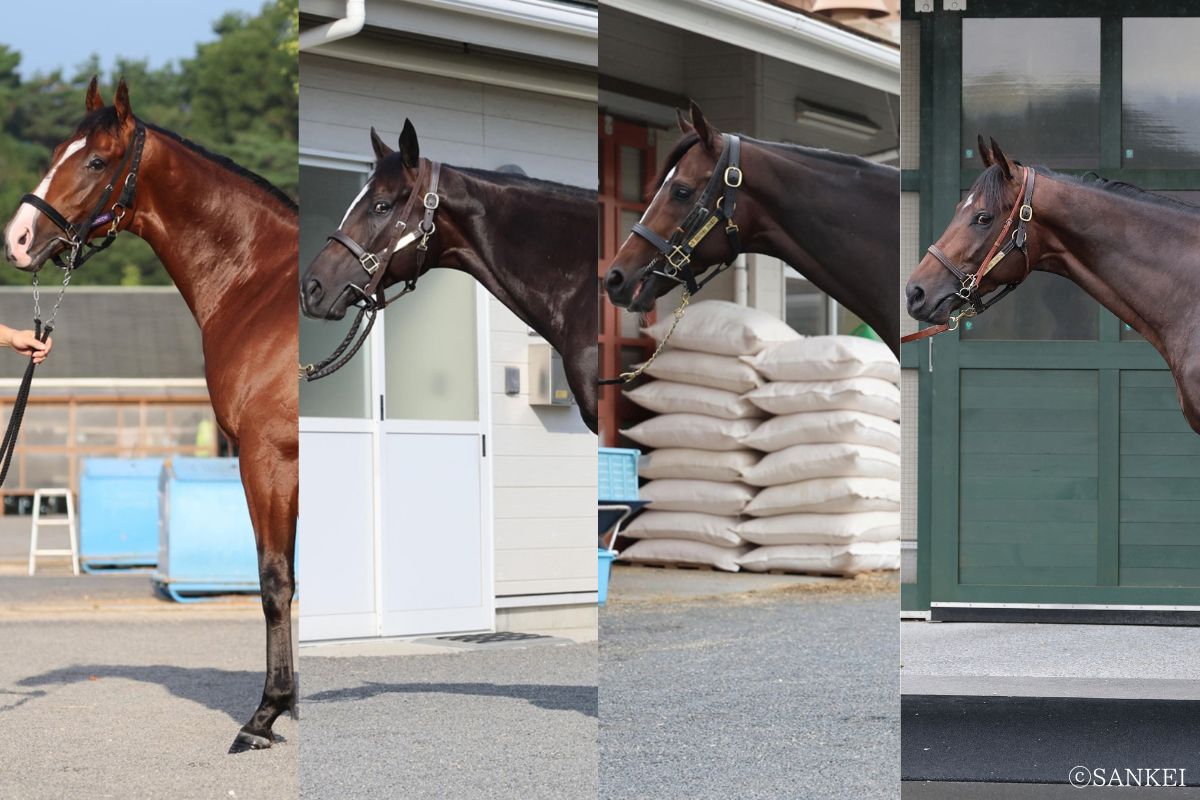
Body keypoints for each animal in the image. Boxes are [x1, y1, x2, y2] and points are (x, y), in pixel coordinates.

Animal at [2, 78, 299, 753]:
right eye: (56, 151)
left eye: (95, 161)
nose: (18, 239)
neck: (262, 283)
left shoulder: (267, 457)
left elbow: (274, 580)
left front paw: (264, 716)